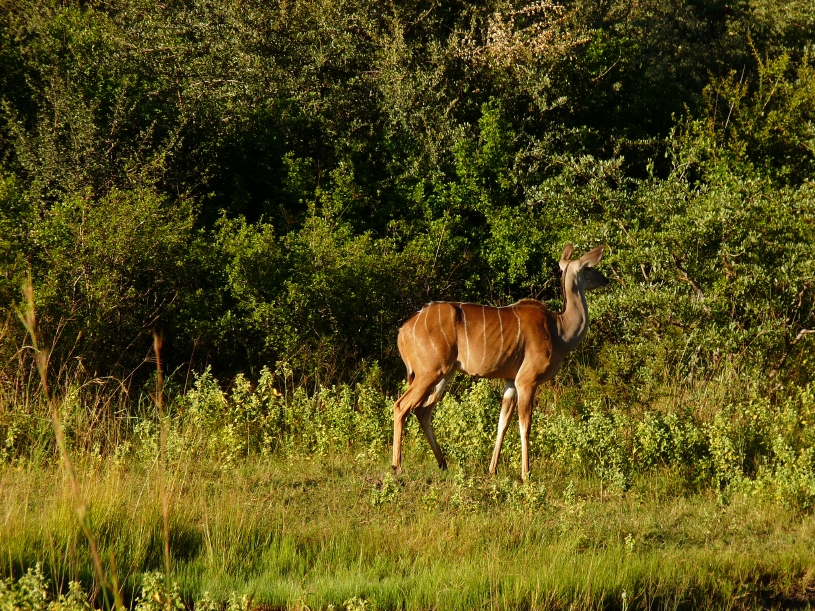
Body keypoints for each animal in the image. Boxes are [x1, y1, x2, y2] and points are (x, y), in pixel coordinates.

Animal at [392, 244, 609, 481]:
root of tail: (403, 332)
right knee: (401, 405)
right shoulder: (527, 380)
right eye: (589, 267)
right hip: (428, 372)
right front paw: (526, 474)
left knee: (423, 410)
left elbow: (502, 423)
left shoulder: (511, 381)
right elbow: (525, 424)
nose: (606, 280)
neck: (559, 330)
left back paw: (443, 464)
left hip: (444, 374)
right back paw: (397, 467)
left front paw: (492, 469)